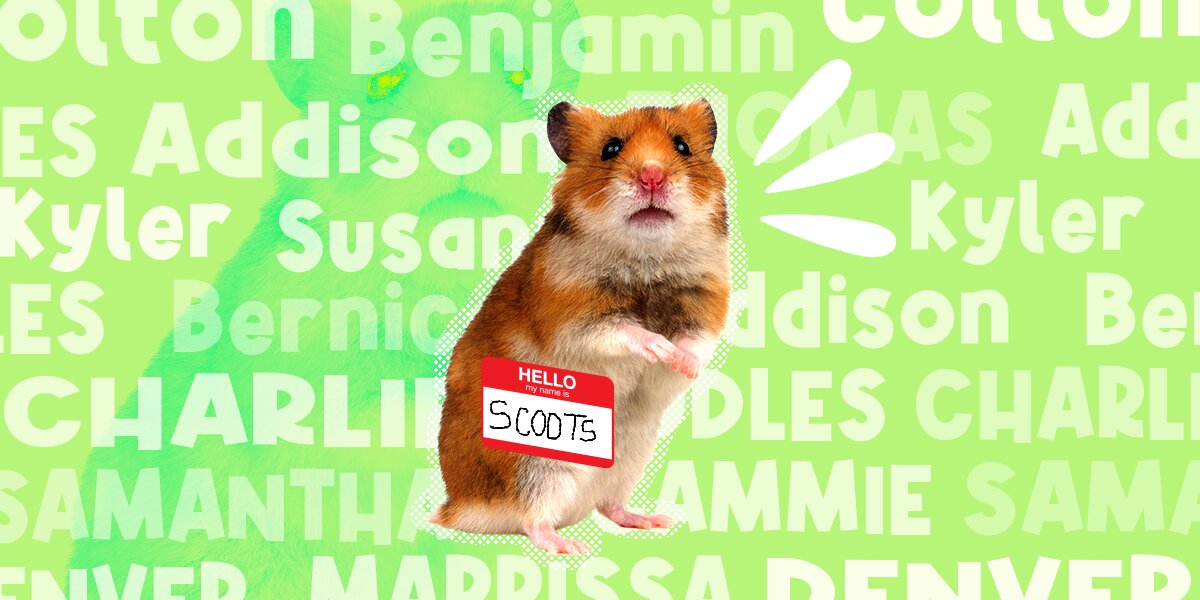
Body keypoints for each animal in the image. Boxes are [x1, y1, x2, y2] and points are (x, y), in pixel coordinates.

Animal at [433, 99, 730, 555]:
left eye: (682, 146)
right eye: (611, 149)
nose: (652, 176)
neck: (647, 261)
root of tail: (457, 507)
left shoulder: (707, 303)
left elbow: (696, 342)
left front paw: (685, 364)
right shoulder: (574, 317)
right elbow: (626, 332)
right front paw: (661, 349)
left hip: (630, 457)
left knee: (609, 506)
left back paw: (653, 520)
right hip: (539, 467)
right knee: (532, 519)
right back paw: (569, 546)